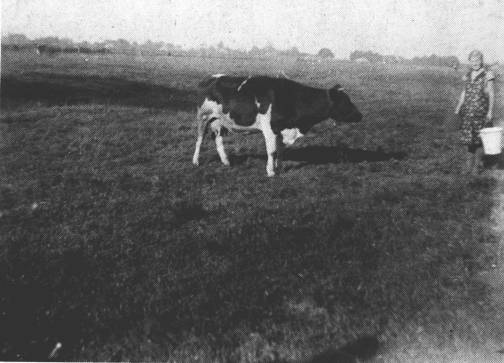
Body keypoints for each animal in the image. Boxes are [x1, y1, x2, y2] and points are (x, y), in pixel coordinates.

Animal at [191, 74, 360, 177]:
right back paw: (195, 161)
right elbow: (272, 151)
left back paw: (226, 162)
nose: (360, 115)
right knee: (199, 140)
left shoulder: (281, 130)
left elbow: (280, 151)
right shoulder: (269, 129)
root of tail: (208, 78)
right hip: (203, 117)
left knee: (218, 139)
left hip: (218, 121)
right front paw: (271, 171)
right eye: (345, 101)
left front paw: (279, 167)